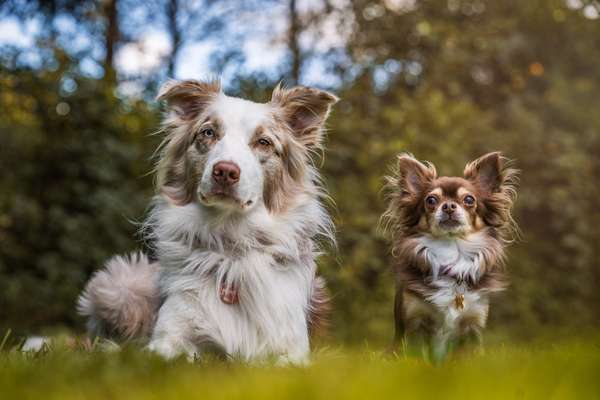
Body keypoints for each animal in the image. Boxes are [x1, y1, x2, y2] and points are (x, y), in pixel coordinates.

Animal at [77, 79, 338, 364]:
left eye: (264, 142)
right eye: (209, 132)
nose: (225, 171)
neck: (231, 241)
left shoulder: (292, 350)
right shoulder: (168, 338)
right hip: (118, 286)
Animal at [384, 152, 520, 360]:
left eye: (469, 199)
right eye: (431, 200)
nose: (448, 206)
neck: (451, 250)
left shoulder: (472, 326)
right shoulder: (416, 323)